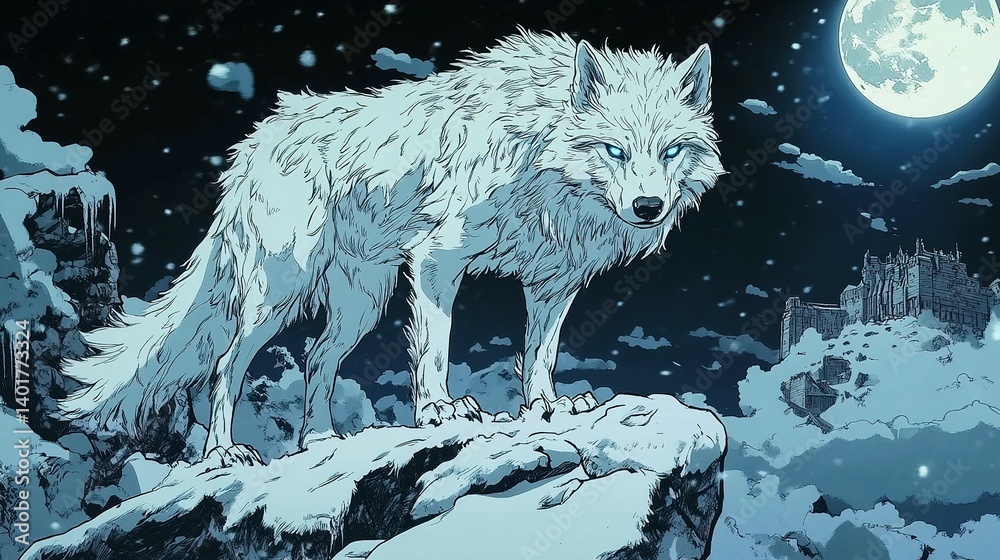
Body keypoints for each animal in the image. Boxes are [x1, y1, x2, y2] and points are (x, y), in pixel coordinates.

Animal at [57, 29, 724, 465]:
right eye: (614, 150)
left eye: (671, 151)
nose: (648, 208)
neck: (539, 154)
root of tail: (252, 146)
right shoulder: (436, 261)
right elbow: (434, 351)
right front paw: (440, 412)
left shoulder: (551, 284)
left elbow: (540, 354)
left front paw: (548, 408)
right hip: (279, 297)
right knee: (225, 364)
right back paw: (223, 453)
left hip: (361, 303)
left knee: (316, 358)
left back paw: (321, 441)